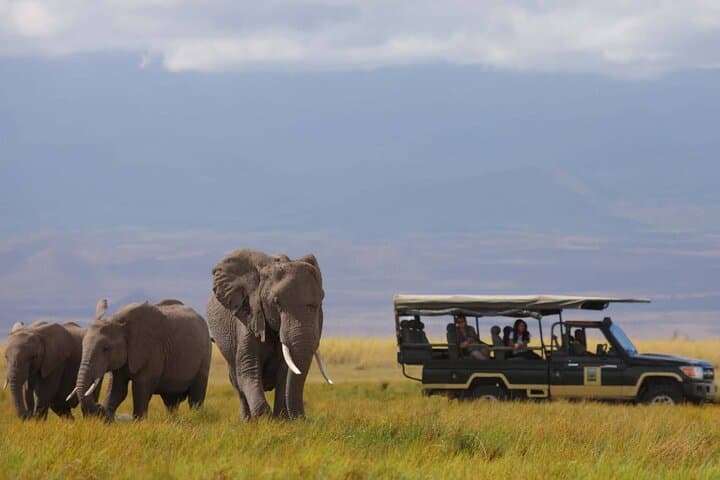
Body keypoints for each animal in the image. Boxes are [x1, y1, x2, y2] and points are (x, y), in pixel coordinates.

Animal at [72, 299, 211, 420]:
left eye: (106, 349)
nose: (99, 406)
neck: (118, 323)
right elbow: (117, 390)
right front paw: (107, 420)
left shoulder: (152, 350)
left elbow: (141, 388)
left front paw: (138, 422)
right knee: (171, 402)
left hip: (205, 354)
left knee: (196, 396)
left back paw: (196, 417)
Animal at [207, 248, 333, 420]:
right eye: (276, 302)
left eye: (320, 301)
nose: (302, 417)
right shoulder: (249, 315)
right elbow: (248, 369)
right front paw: (264, 419)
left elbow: (285, 373)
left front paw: (282, 420)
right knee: (236, 382)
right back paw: (247, 421)